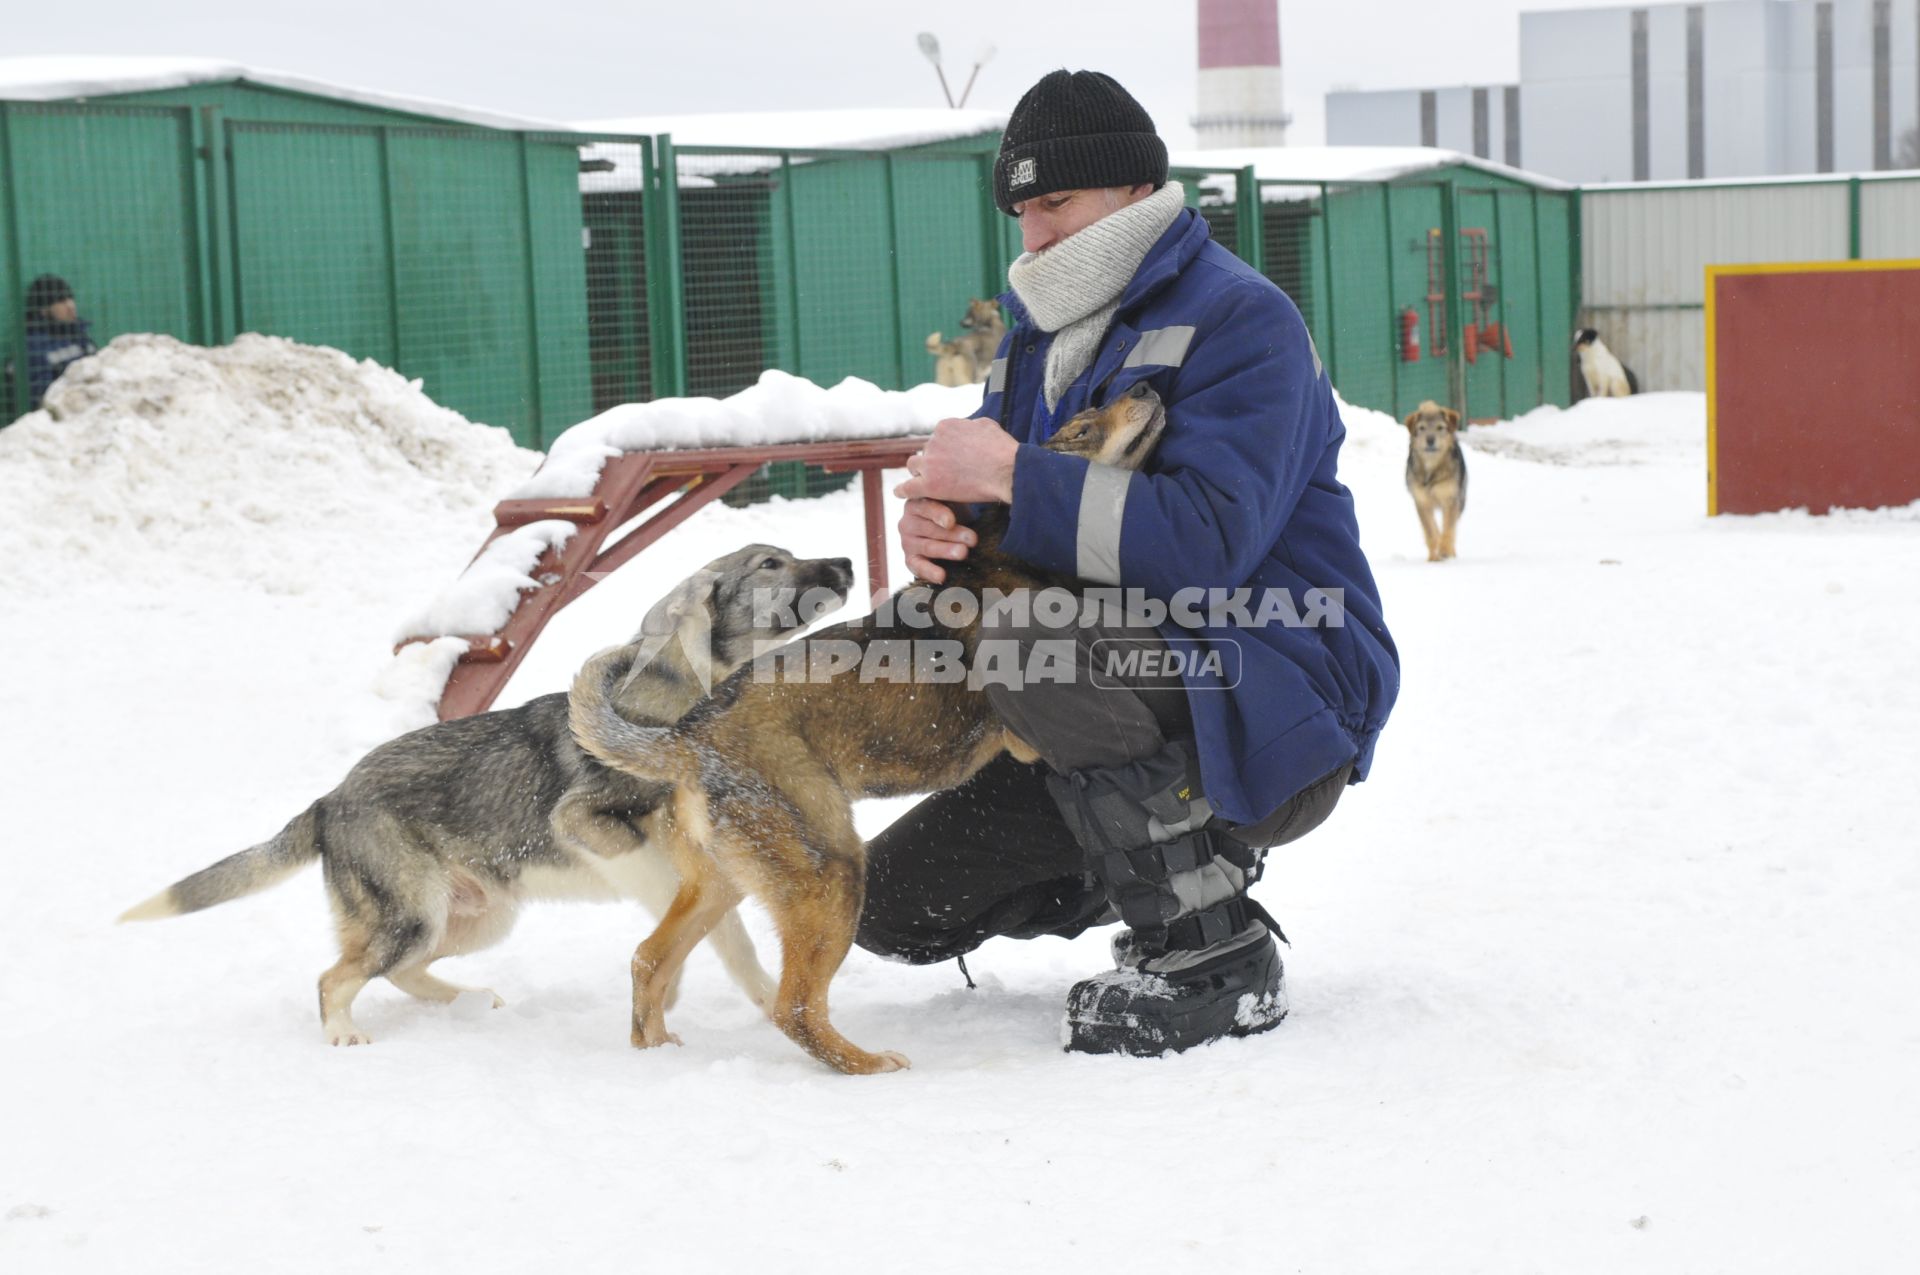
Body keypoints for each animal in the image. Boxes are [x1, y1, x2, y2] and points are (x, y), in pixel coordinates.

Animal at [121, 541, 856, 1044]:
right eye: (771, 563)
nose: (847, 562)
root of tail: (331, 798)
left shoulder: (702, 878)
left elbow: (736, 947)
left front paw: (752, 1002)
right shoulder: (591, 829)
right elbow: (676, 920)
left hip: (473, 919)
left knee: (397, 972)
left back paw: (464, 1002)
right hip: (412, 916)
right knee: (336, 978)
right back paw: (344, 1034)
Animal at [568, 380, 1167, 1075]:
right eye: (1080, 431)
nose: (1146, 385)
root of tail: (689, 741)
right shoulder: (1019, 738)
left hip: (723, 882)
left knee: (649, 959)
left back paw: (657, 1051)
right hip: (831, 872)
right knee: (794, 1007)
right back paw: (869, 1065)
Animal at [1405, 395, 1459, 560]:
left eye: (1440, 427)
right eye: (1421, 428)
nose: (1430, 439)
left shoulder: (1450, 499)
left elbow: (1448, 528)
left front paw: (1445, 550)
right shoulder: (1422, 502)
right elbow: (1430, 530)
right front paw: (1434, 556)